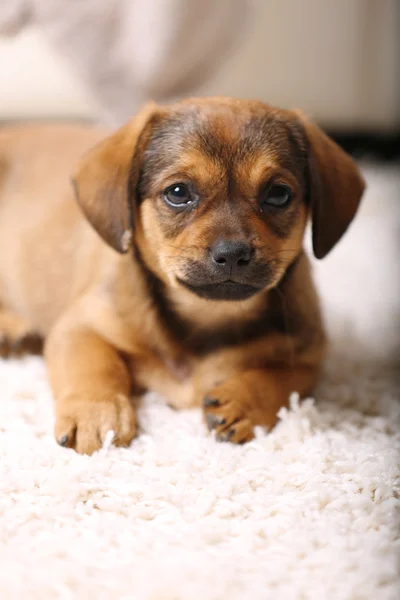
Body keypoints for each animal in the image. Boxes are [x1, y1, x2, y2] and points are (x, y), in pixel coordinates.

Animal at [0, 98, 364, 454]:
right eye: (178, 192)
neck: (206, 317)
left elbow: (281, 378)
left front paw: (244, 401)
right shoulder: (77, 328)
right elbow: (94, 367)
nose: (233, 253)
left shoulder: (309, 355)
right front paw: (97, 414)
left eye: (278, 195)